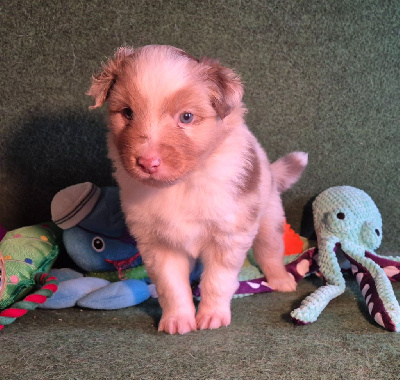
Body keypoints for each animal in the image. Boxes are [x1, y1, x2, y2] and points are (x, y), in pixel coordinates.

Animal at [86, 46, 306, 334]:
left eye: (187, 117)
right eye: (127, 113)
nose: (147, 162)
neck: (181, 184)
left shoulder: (229, 235)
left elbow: (217, 281)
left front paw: (212, 316)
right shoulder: (158, 244)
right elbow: (171, 286)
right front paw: (178, 319)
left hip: (269, 215)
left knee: (269, 251)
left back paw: (280, 280)